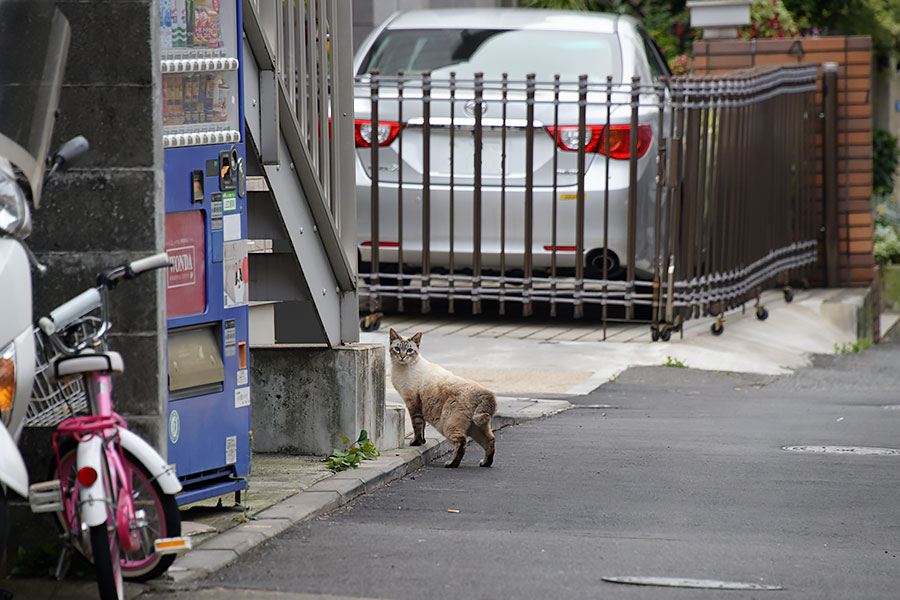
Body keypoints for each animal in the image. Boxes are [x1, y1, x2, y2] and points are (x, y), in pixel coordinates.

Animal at [388, 330, 496, 466]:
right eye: (397, 349)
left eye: (409, 350)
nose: (402, 356)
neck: (402, 368)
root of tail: (483, 391)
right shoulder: (419, 407)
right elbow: (422, 427)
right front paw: (422, 442)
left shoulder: (412, 403)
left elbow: (417, 425)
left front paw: (416, 443)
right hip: (476, 428)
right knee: (490, 440)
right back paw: (485, 463)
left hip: (449, 425)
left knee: (462, 442)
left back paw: (451, 464)